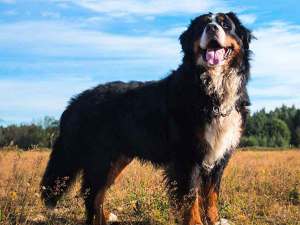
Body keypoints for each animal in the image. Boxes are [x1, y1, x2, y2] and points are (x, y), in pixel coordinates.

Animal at [41, 11, 253, 225]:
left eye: (225, 25)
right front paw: (195, 222)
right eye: (202, 26)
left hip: (117, 159)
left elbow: (211, 194)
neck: (212, 88)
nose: (211, 28)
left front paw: (215, 220)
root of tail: (76, 101)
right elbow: (190, 197)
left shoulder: (219, 156)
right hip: (101, 158)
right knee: (91, 194)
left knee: (98, 194)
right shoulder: (188, 156)